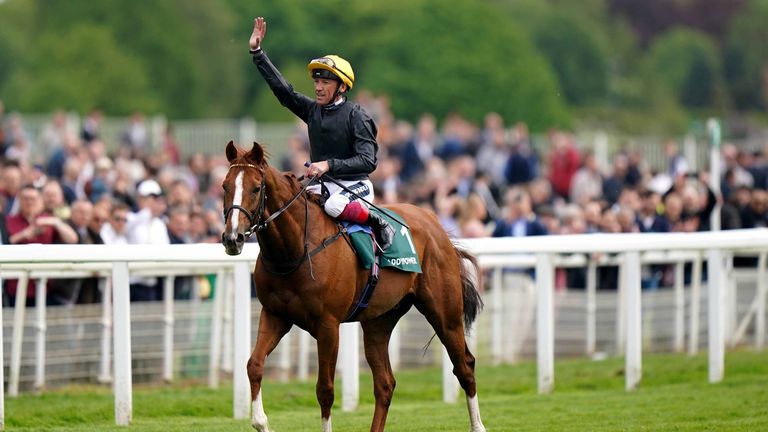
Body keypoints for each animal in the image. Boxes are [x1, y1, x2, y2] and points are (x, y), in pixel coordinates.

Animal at [222, 140, 486, 430]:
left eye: (256, 188)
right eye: (225, 186)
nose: (232, 238)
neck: (295, 251)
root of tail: (434, 221)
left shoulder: (328, 325)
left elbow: (325, 389)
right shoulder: (275, 315)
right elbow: (254, 365)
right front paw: (260, 421)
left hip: (444, 313)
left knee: (465, 365)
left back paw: (478, 425)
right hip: (379, 321)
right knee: (385, 383)